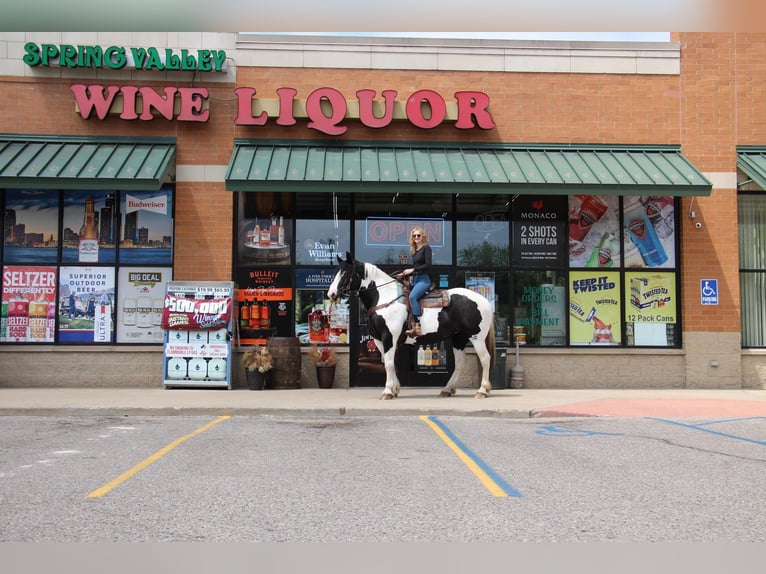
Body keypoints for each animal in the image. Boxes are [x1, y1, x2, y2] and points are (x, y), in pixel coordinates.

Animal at [326, 252, 498, 400]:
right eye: (336, 272)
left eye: (345, 273)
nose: (331, 294)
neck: (384, 297)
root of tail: (483, 300)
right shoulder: (378, 339)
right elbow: (388, 362)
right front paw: (394, 389)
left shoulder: (389, 337)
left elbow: (389, 363)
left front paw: (387, 392)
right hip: (459, 338)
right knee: (461, 362)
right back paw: (447, 389)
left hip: (476, 337)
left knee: (485, 358)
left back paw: (482, 391)